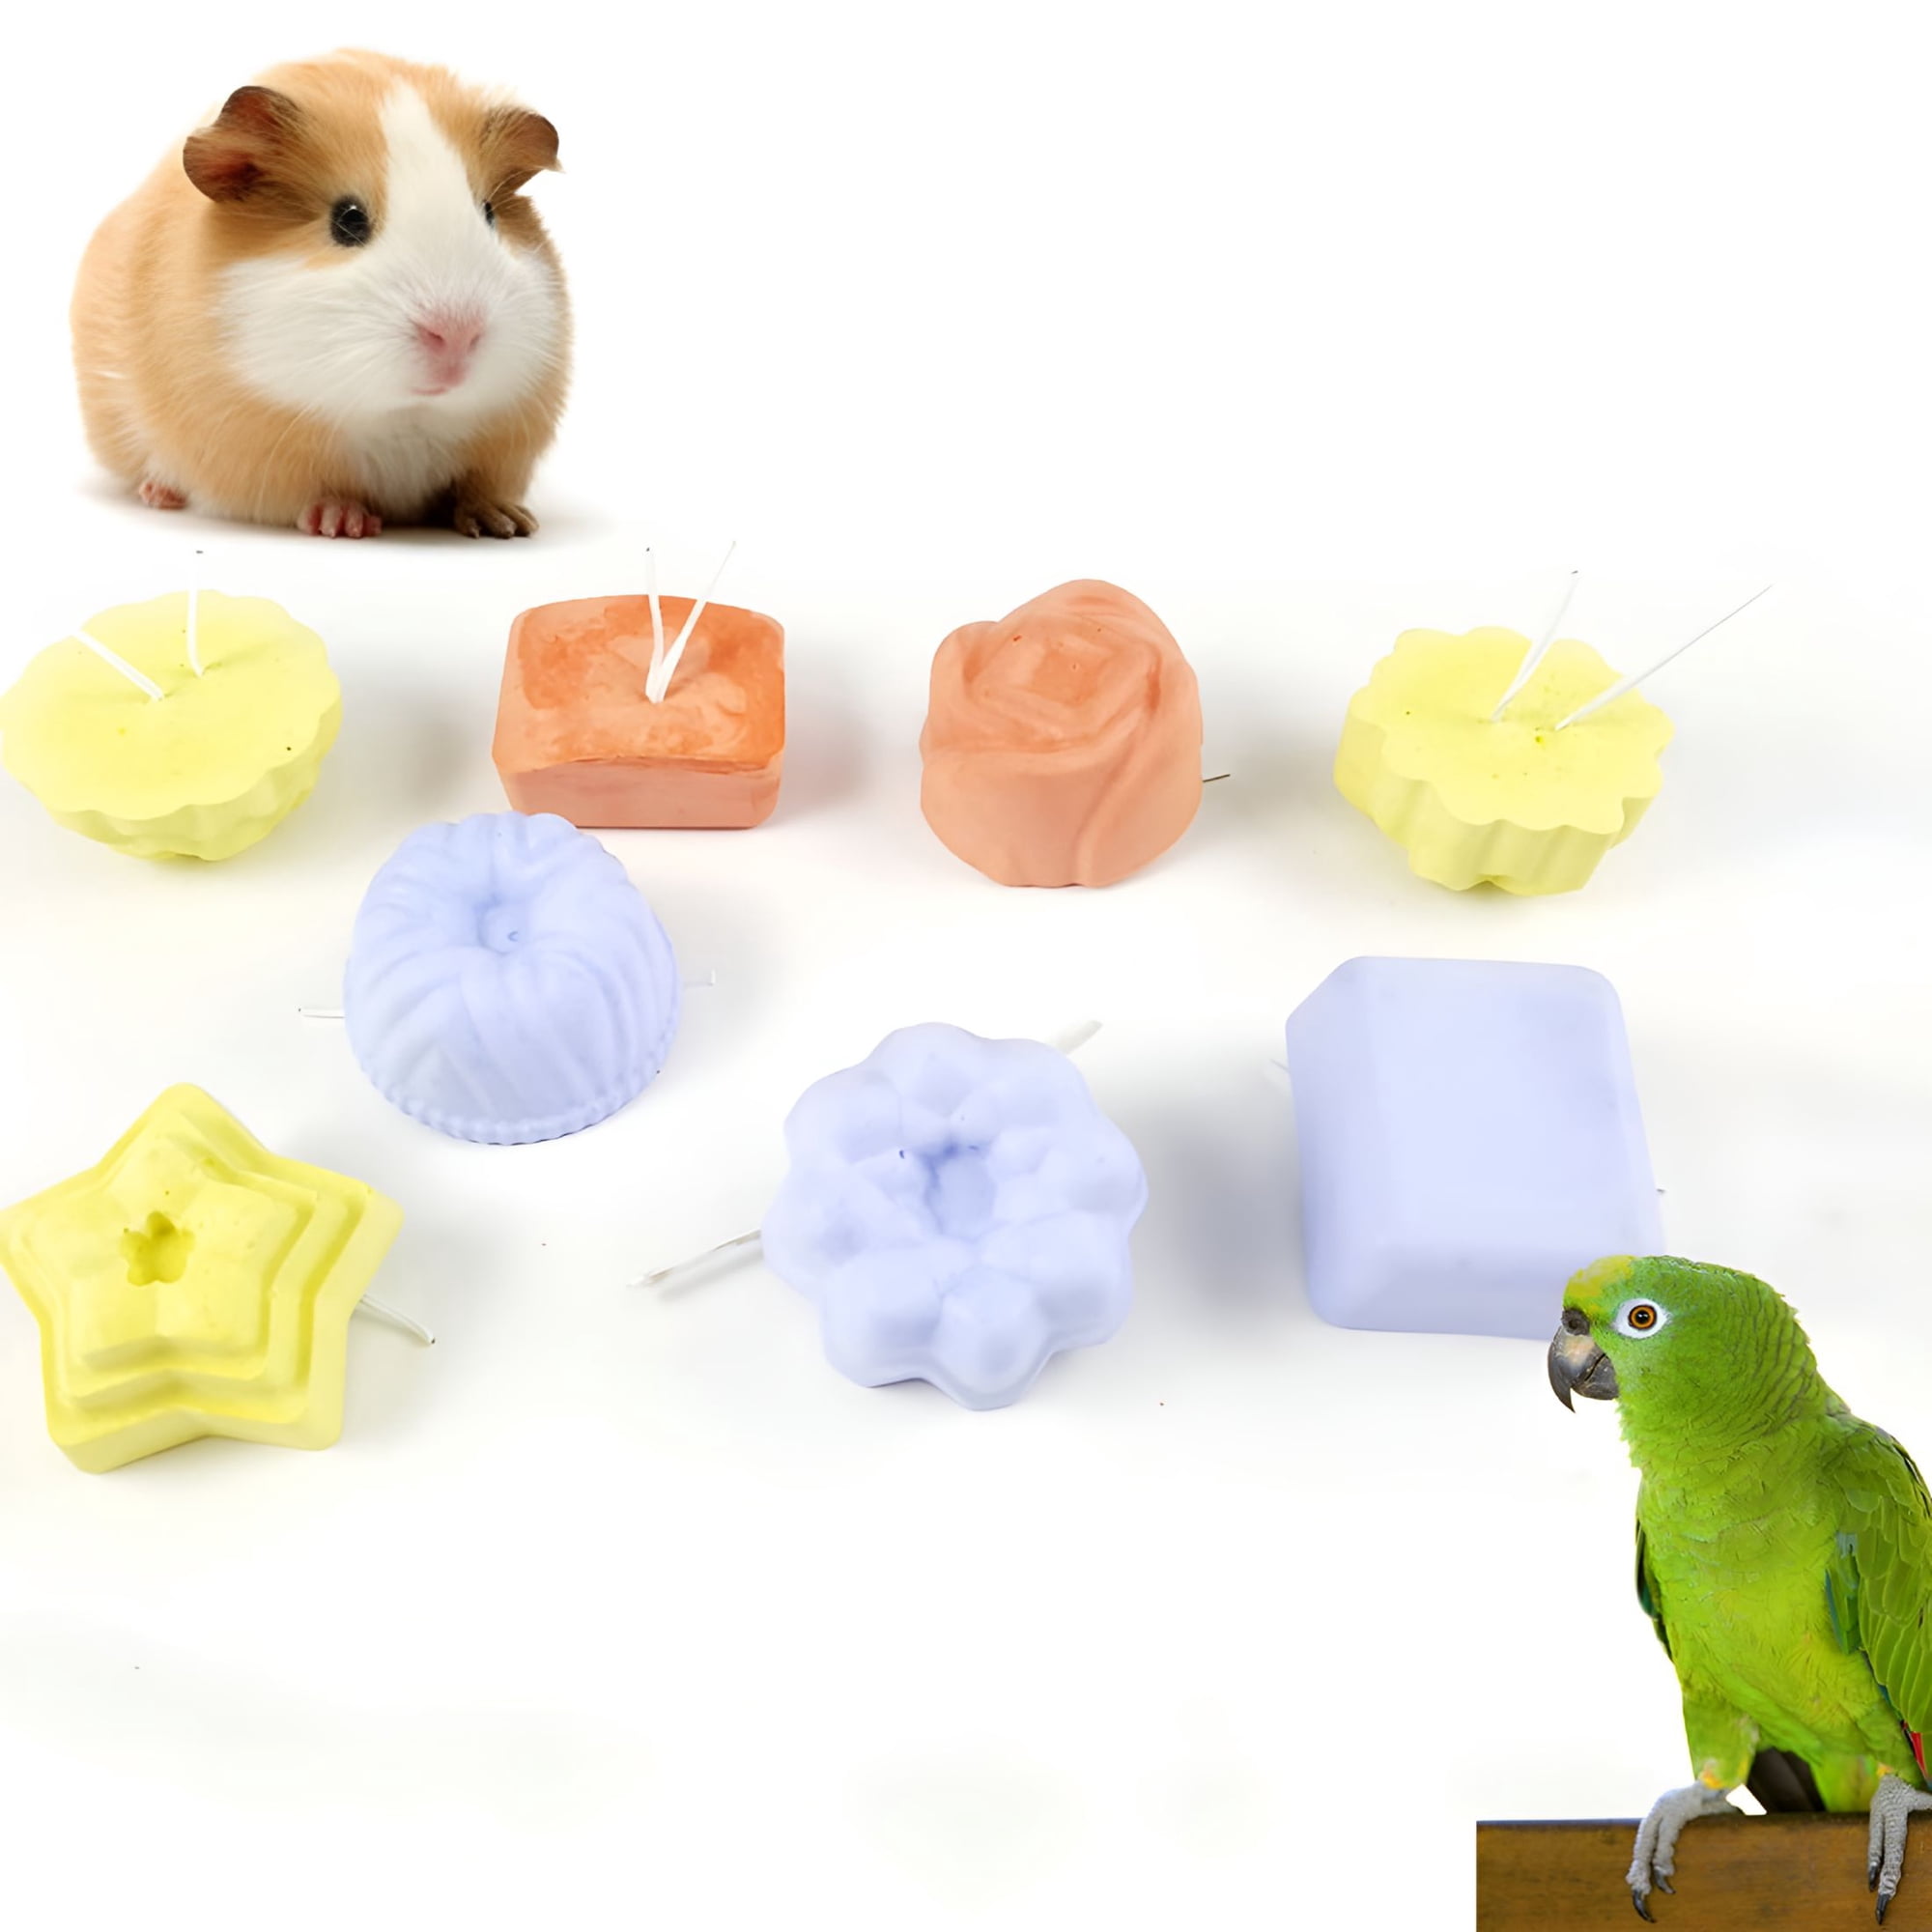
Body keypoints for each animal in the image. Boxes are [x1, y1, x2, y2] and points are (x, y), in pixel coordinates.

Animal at [71, 50, 570, 539]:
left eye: (488, 213)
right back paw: (160, 494)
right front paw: (345, 523)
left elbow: (476, 488)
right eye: (347, 220)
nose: (457, 334)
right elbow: (319, 494)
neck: (406, 417)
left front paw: (508, 524)